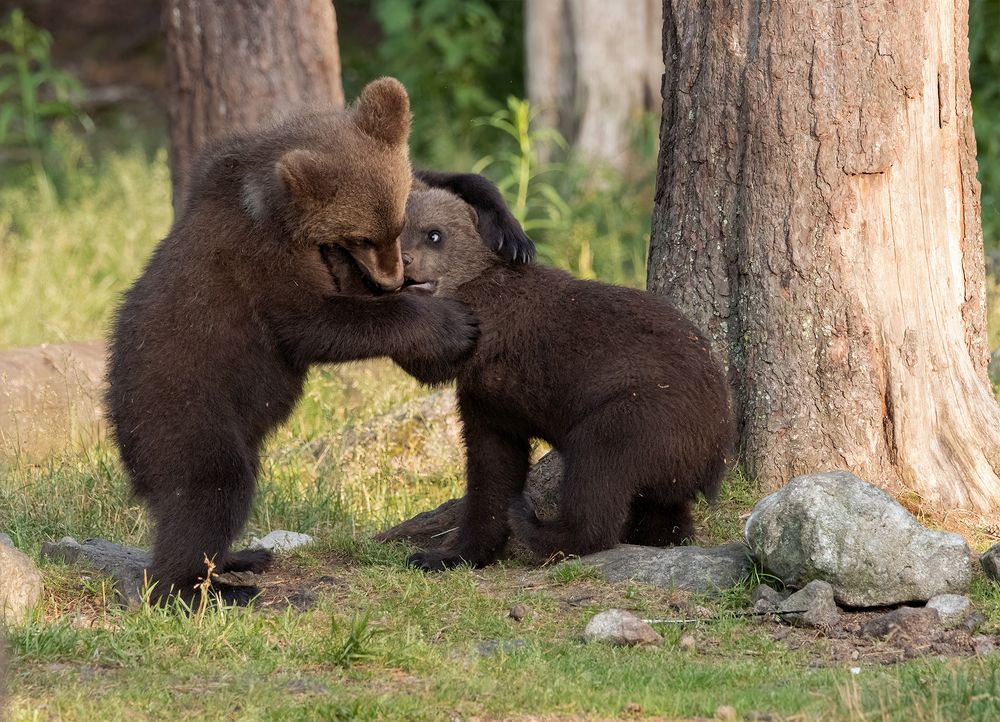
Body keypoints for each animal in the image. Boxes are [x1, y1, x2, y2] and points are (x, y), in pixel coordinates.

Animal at [105, 78, 528, 606]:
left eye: (396, 225)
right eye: (363, 236)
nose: (393, 277)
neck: (276, 209)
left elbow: (447, 177)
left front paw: (508, 229)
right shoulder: (261, 258)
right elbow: (314, 324)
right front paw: (449, 324)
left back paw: (241, 556)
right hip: (185, 411)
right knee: (210, 490)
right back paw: (206, 589)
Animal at [394, 184, 735, 571]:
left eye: (434, 234)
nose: (405, 260)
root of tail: (715, 456)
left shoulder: (493, 321)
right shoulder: (488, 403)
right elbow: (492, 472)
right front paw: (441, 554)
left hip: (649, 413)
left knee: (599, 464)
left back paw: (539, 525)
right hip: (673, 455)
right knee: (662, 507)